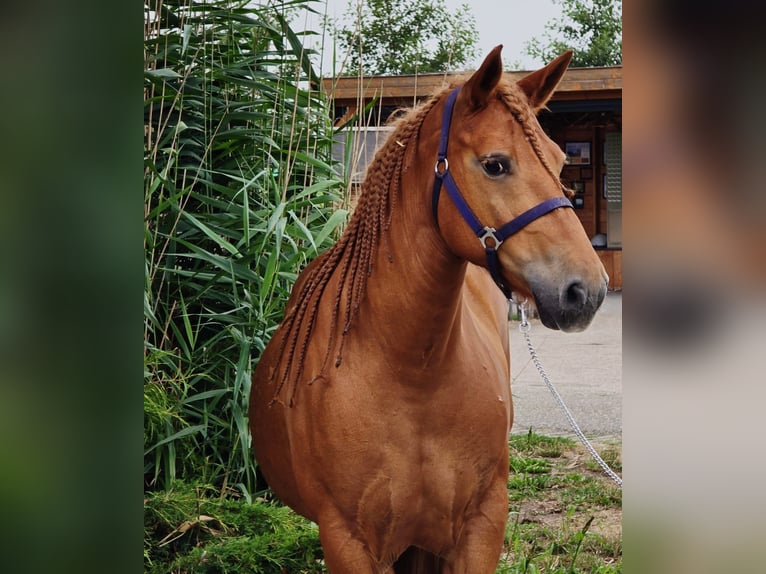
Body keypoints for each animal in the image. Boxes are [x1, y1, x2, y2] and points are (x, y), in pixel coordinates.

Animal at [249, 45, 608, 573]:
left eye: (562, 159)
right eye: (495, 164)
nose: (588, 290)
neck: (413, 374)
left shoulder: (481, 527)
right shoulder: (348, 541)